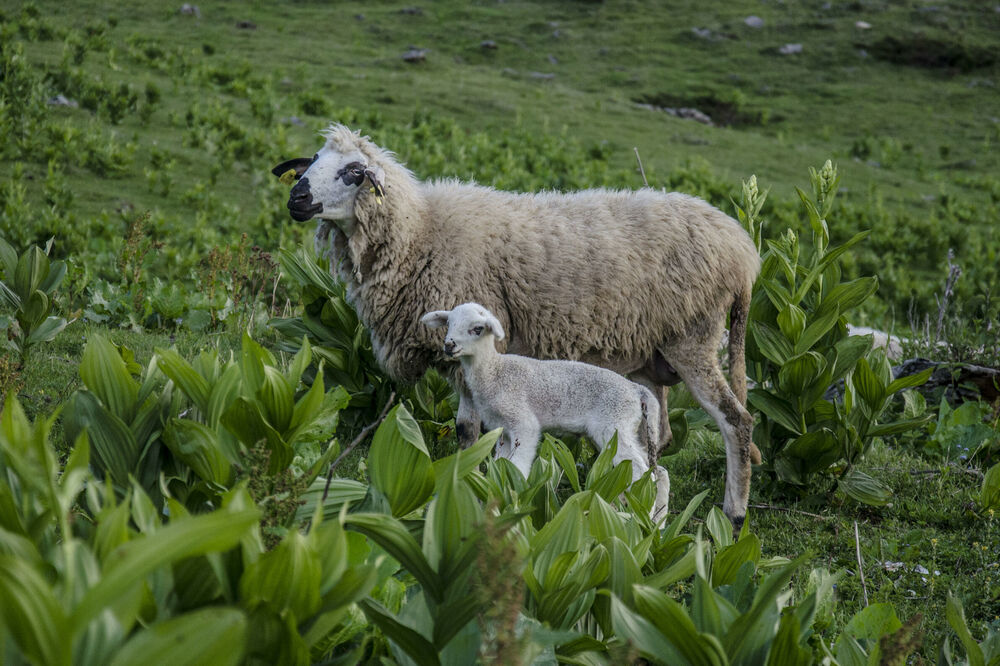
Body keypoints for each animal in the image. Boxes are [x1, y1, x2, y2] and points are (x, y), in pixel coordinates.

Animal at [418, 300, 668, 520]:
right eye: (449, 323)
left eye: (477, 329)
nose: (449, 345)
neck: (494, 372)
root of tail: (637, 391)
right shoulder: (503, 430)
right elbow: (501, 466)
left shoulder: (522, 422)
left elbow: (518, 465)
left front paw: (514, 499)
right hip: (625, 428)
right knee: (658, 471)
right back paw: (655, 523)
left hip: (613, 424)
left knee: (640, 471)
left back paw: (642, 518)